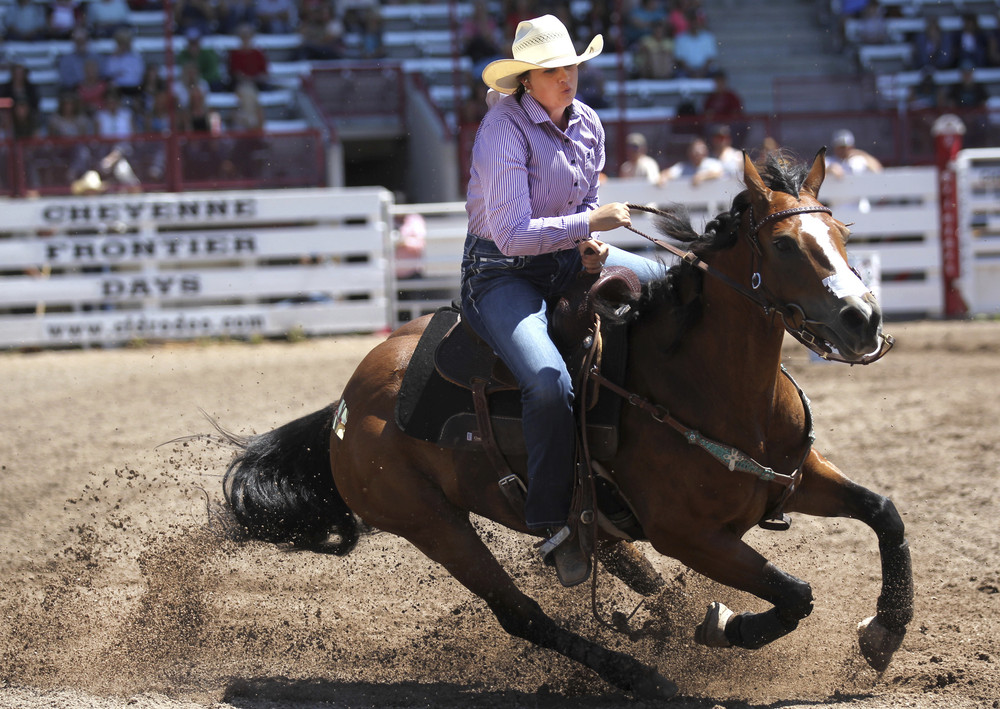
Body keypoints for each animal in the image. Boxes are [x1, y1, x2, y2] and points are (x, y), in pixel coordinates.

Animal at [219, 152, 916, 700]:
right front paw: (726, 626)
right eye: (783, 244)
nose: (863, 319)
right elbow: (793, 593)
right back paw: (641, 674)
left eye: (842, 232)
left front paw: (886, 630)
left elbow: (884, 512)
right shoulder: (691, 536)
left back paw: (645, 615)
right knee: (521, 614)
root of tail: (347, 400)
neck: (707, 385)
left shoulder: (793, 478)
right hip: (432, 524)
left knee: (614, 558)